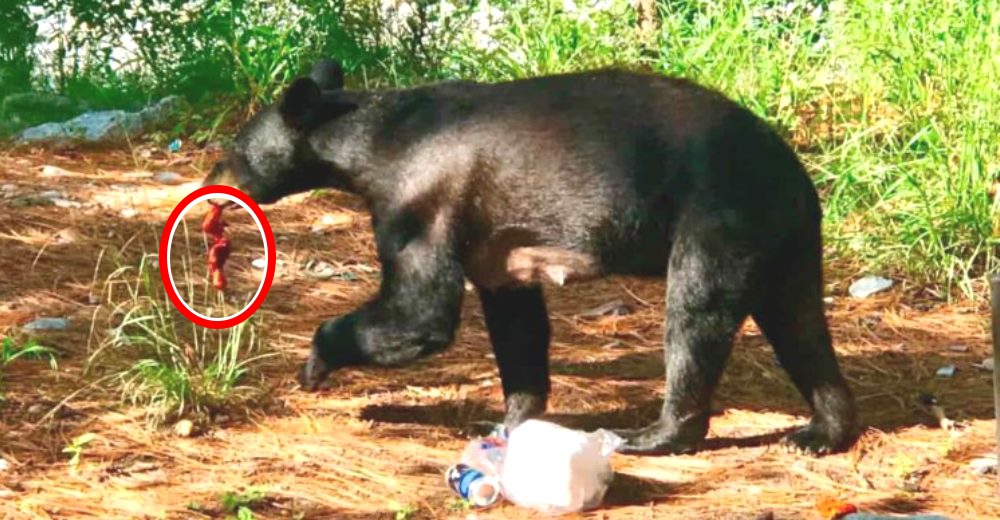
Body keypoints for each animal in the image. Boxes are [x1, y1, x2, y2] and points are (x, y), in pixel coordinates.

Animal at [203, 58, 860, 456]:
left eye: (236, 148)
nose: (212, 177)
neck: (373, 144)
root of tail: (793, 173)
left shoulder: (422, 201)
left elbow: (420, 311)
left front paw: (315, 362)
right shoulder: (496, 248)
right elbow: (517, 328)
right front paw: (510, 420)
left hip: (718, 221)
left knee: (696, 319)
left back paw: (651, 434)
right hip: (784, 244)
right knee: (801, 327)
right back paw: (822, 430)